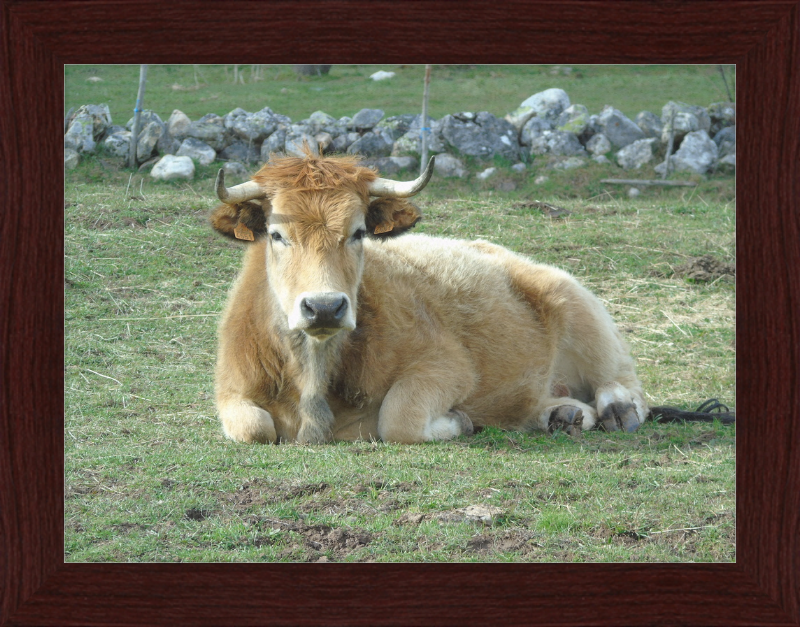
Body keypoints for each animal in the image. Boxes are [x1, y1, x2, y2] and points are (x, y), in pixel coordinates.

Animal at [209, 152, 648, 446]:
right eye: (277, 234)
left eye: (358, 232)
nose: (324, 307)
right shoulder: (231, 391)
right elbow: (253, 428)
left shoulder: (448, 367)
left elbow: (398, 418)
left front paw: (459, 421)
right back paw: (562, 414)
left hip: (580, 309)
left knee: (624, 383)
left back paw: (617, 409)